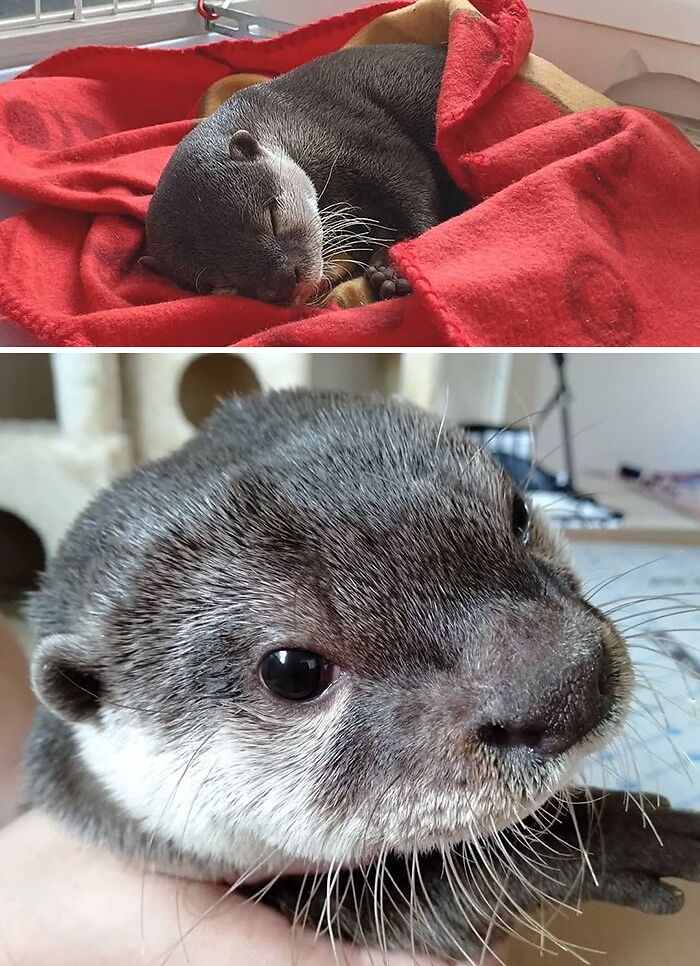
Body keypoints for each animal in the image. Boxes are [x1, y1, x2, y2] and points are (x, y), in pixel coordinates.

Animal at [144, 45, 471, 304]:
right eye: (223, 282)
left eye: (273, 219)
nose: (287, 282)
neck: (292, 120)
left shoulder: (369, 143)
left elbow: (412, 185)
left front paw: (397, 263)